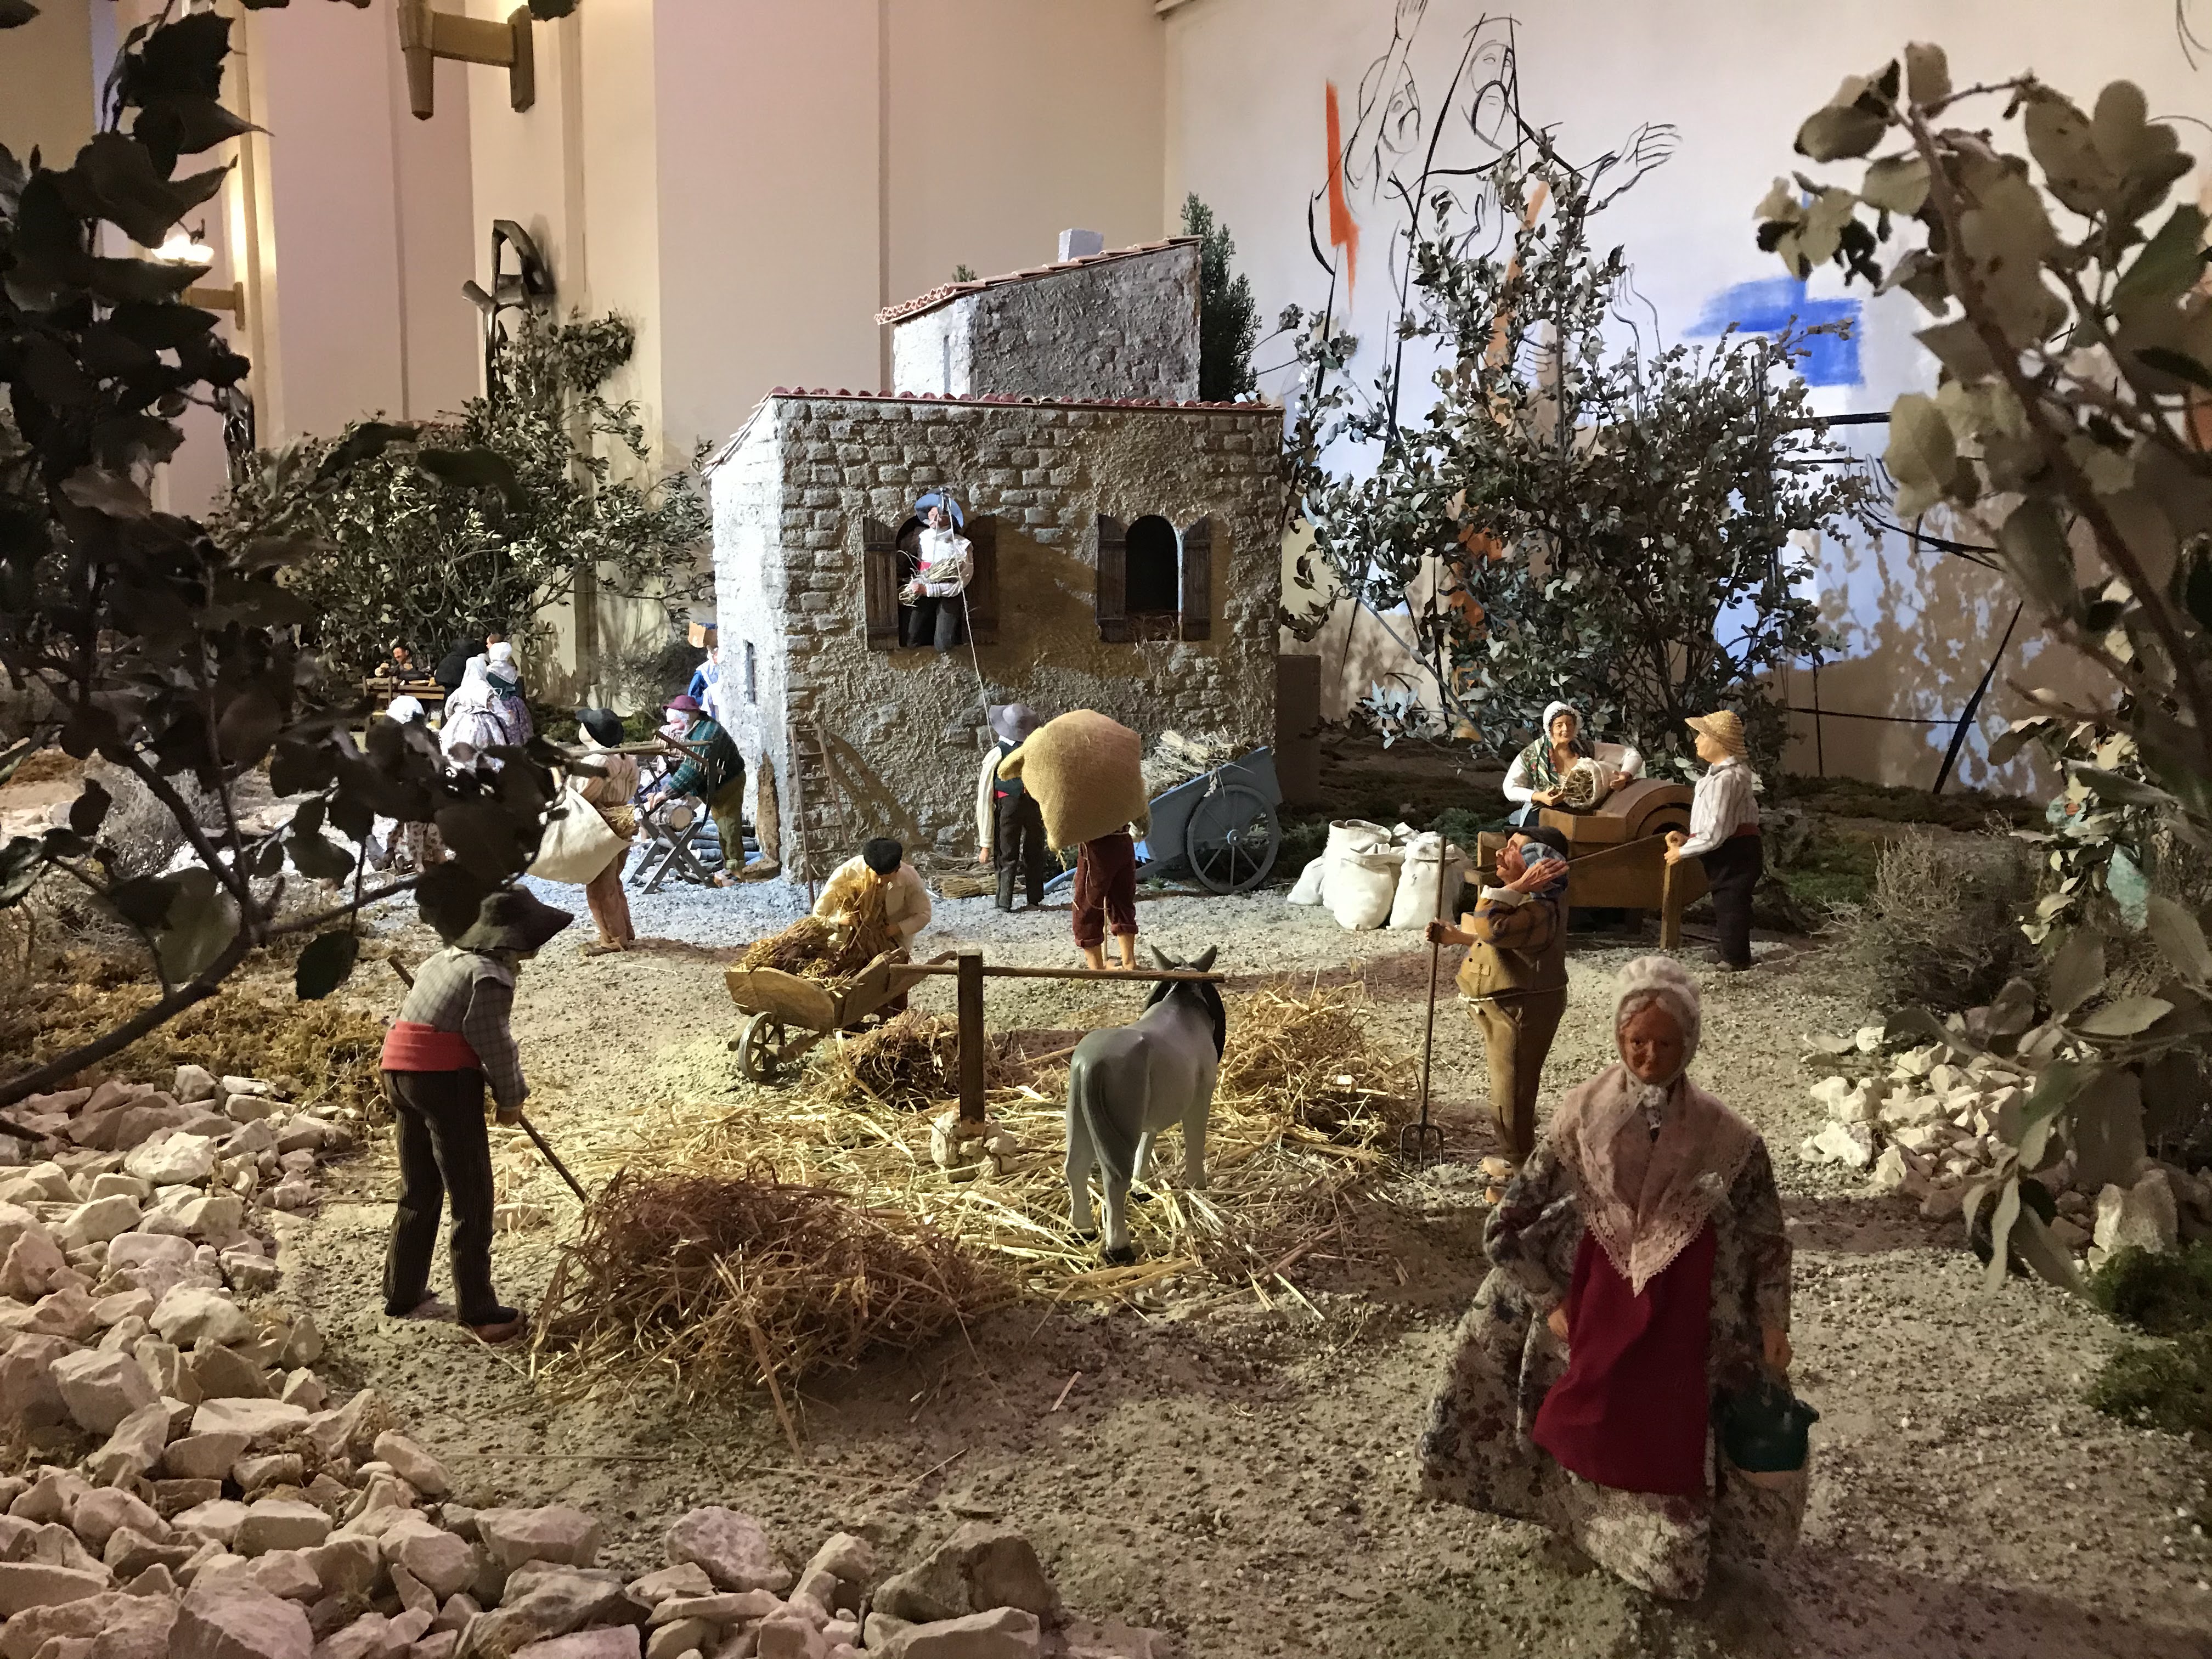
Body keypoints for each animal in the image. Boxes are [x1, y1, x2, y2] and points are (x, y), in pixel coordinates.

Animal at [1065, 944, 1225, 1264]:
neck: (1183, 1005)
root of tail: (1089, 1065)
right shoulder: (1201, 1096)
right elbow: (1195, 1141)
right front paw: (1198, 1186)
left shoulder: (1150, 1115)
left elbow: (1148, 1138)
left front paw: (1142, 1186)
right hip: (1118, 1129)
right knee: (1114, 1179)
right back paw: (1119, 1247)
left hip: (1078, 1117)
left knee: (1075, 1166)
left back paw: (1083, 1229)